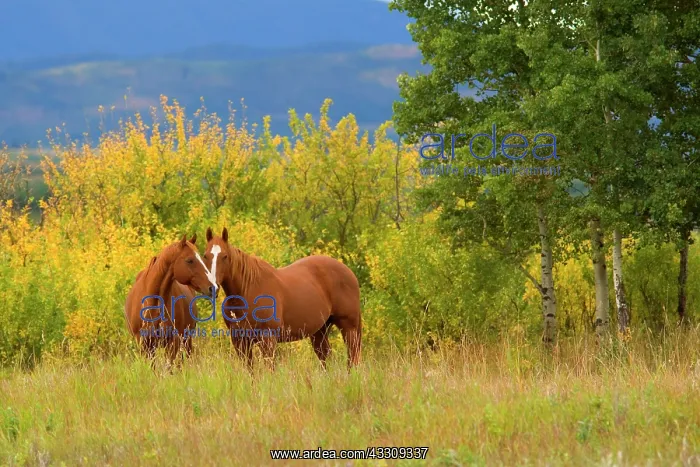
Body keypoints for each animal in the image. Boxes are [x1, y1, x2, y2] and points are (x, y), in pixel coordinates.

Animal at [203, 227, 362, 370]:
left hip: (349, 327)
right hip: (320, 330)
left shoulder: (268, 340)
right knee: (325, 356)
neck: (246, 291)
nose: (212, 287)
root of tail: (348, 272)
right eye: (205, 256)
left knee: (352, 357)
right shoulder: (240, 342)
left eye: (225, 256)